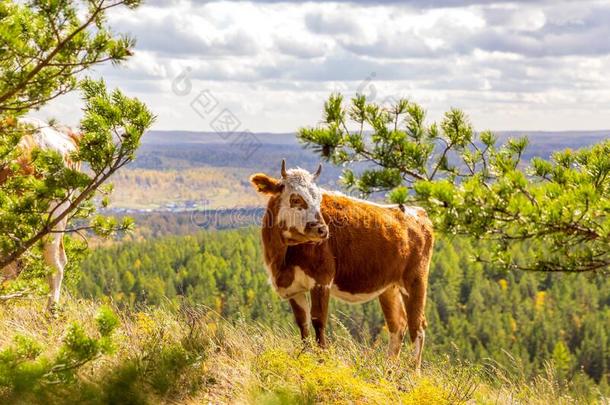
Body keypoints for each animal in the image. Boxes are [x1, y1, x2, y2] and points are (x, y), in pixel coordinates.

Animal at [251, 159, 432, 370]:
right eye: (295, 199)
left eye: (318, 199)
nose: (322, 229)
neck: (281, 258)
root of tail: (418, 212)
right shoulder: (293, 288)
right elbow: (303, 324)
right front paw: (305, 359)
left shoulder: (322, 280)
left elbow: (318, 321)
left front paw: (322, 361)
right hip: (389, 287)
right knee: (398, 324)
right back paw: (388, 371)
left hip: (415, 280)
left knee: (417, 326)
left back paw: (412, 372)